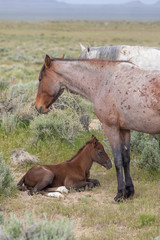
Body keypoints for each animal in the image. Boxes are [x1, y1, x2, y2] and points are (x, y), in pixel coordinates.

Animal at [35, 55, 160, 202]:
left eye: (40, 79)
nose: (38, 106)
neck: (103, 81)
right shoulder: (124, 129)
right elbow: (126, 159)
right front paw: (129, 192)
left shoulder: (110, 128)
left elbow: (118, 160)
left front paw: (119, 194)